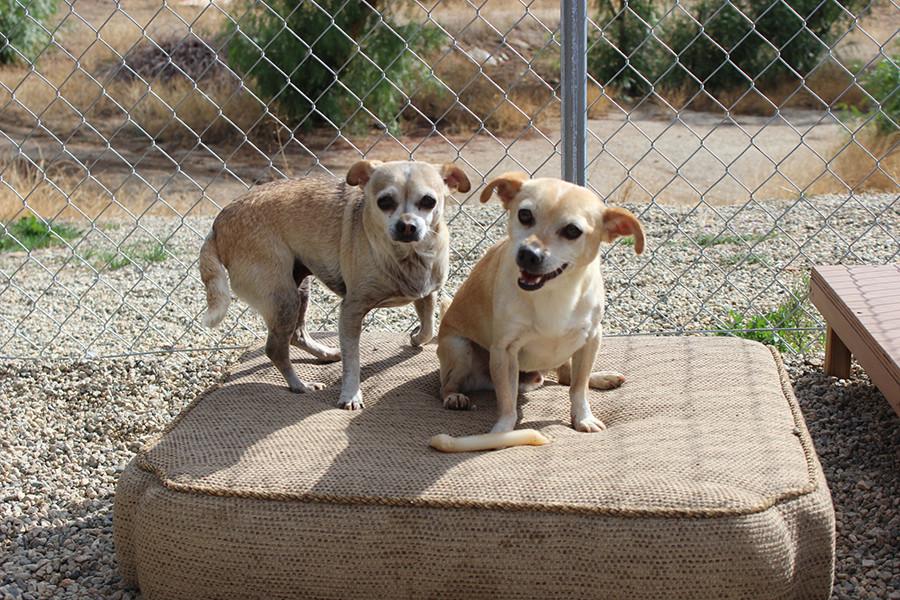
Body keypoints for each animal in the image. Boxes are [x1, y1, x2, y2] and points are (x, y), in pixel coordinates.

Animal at [200, 162, 472, 410]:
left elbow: (428, 327)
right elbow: (353, 361)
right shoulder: (351, 312)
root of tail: (217, 225)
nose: (406, 225)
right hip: (283, 297)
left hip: (300, 289)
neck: (407, 257)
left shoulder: (426, 294)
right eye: (384, 202)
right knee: (275, 348)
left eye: (429, 201)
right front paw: (351, 395)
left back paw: (326, 354)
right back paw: (300, 386)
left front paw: (416, 338)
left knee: (296, 334)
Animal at [434, 171, 640, 448]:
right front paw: (502, 432)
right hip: (460, 348)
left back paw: (600, 377)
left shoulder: (591, 339)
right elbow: (507, 402)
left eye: (572, 231)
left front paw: (583, 417)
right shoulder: (504, 352)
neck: (554, 293)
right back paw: (454, 396)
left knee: (568, 377)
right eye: (524, 215)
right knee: (446, 385)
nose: (528, 254)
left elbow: (578, 388)